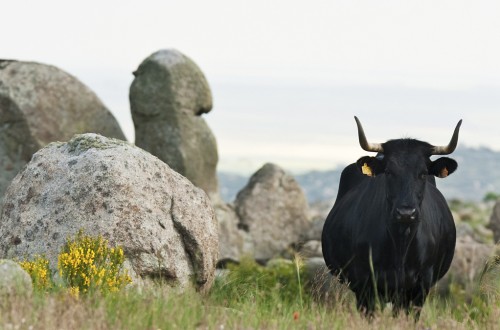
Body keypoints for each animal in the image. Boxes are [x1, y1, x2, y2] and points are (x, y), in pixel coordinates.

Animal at [324, 117, 460, 316]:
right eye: (389, 172)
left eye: (423, 173)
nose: (406, 213)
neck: (400, 245)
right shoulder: (365, 285)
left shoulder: (419, 288)